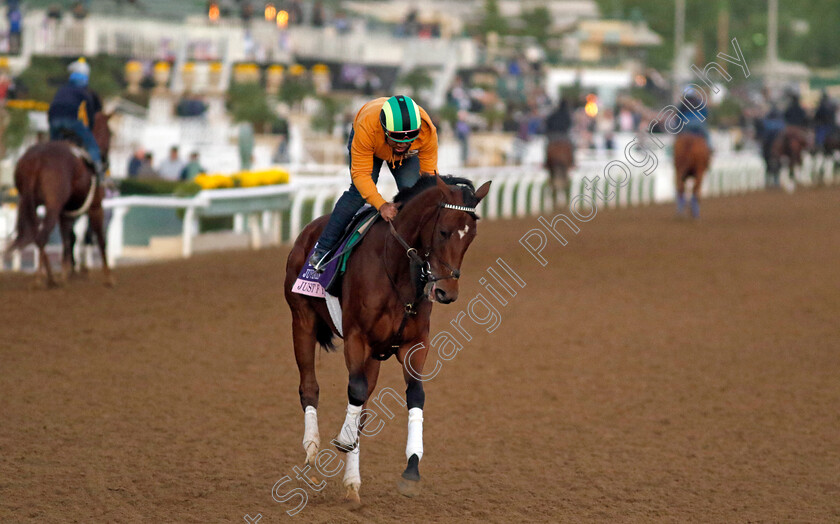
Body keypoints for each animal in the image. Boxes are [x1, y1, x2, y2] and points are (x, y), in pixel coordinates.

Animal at [4, 112, 114, 288]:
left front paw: (65, 275)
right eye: (110, 133)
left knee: (37, 235)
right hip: (52, 206)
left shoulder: (65, 214)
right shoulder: (96, 207)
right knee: (42, 236)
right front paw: (108, 277)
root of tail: (36, 159)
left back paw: (51, 278)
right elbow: (100, 240)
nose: (106, 161)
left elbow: (68, 241)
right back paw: (40, 279)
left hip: (27, 203)